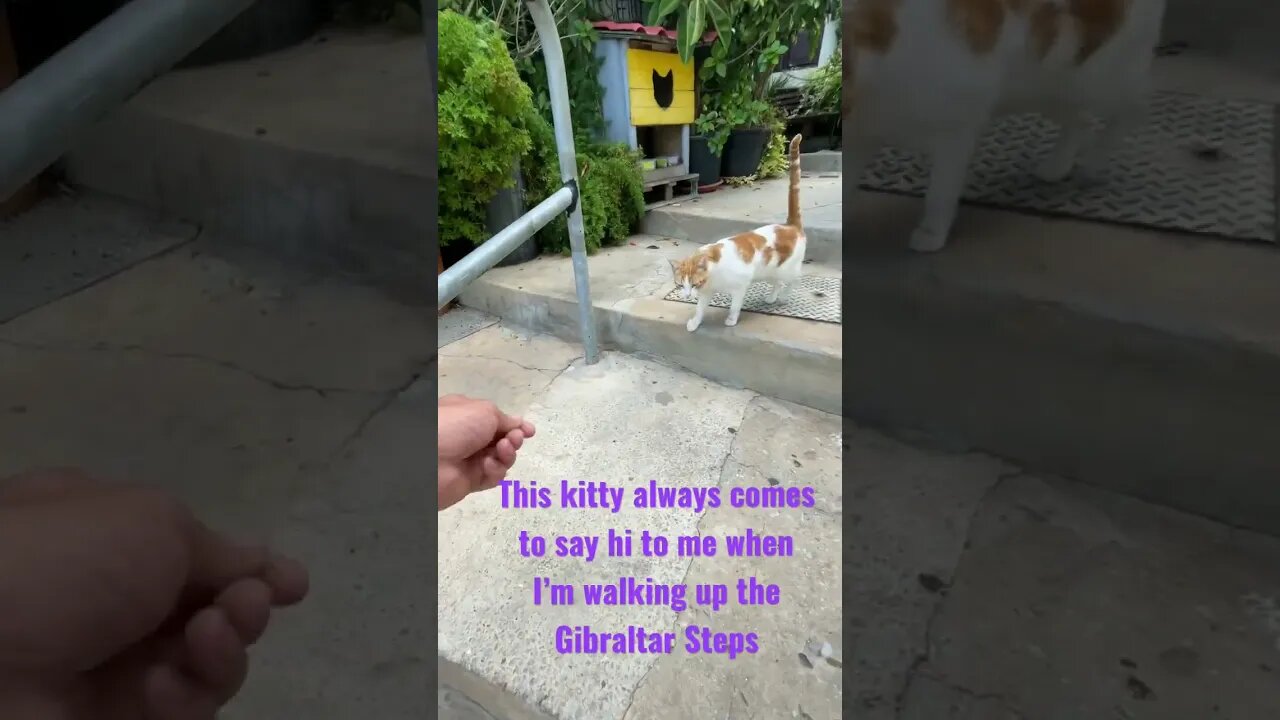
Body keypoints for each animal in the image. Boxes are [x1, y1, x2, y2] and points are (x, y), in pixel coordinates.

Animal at [675, 133, 803, 330]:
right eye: (681, 285)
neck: (713, 275)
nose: (687, 295)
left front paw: (731, 319)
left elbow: (735, 305)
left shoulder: (739, 286)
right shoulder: (707, 292)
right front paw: (695, 322)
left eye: (695, 284)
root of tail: (790, 226)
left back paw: (783, 297)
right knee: (777, 283)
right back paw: (772, 297)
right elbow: (700, 309)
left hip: (786, 269)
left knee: (794, 280)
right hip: (769, 271)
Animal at [849, 0, 1172, 249]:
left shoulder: (956, 130)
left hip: (1099, 78)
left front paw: (931, 234)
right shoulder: (861, 137)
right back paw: (1056, 167)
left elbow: (939, 193)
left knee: (1133, 110)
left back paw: (1093, 165)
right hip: (1048, 89)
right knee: (1082, 121)